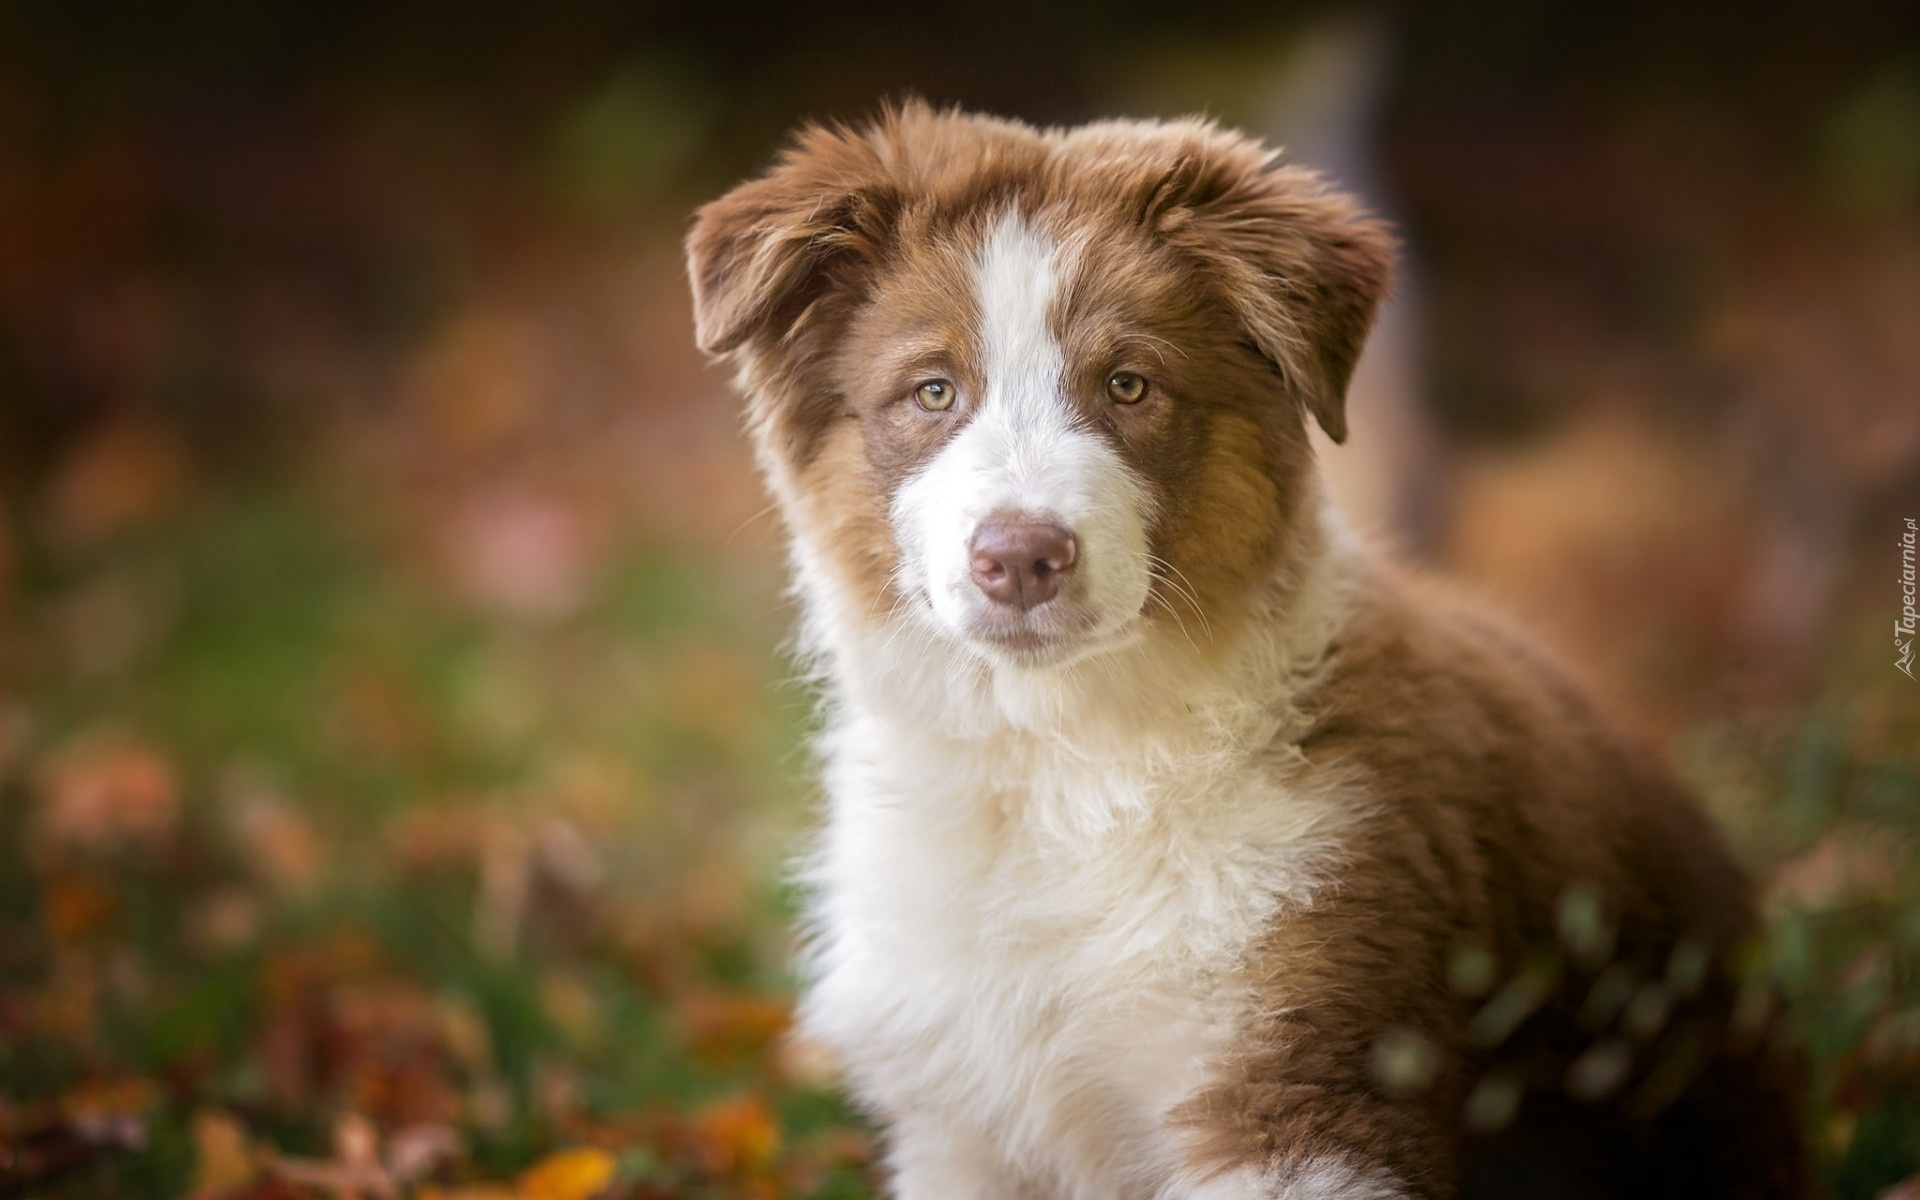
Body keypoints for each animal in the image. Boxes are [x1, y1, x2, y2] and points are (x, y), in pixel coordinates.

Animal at [691, 100, 1812, 1198]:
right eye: (932, 392)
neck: (1057, 763)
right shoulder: (961, 1130)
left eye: (1130, 386)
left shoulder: (1300, 1090)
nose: (1020, 559)